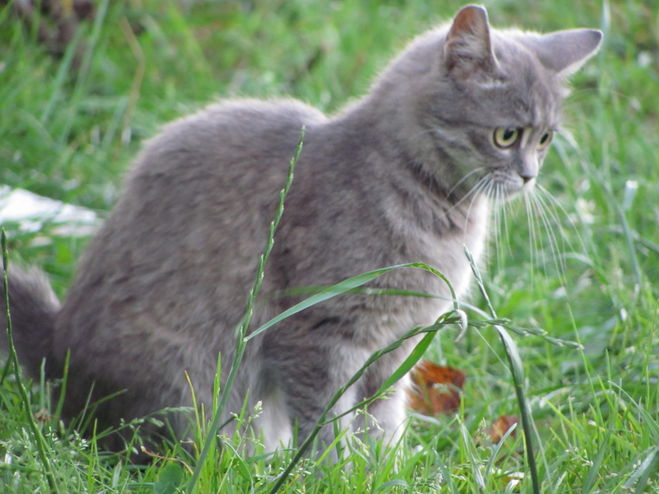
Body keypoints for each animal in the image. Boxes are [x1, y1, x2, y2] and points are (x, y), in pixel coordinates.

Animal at [0, 6, 604, 456]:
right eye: (506, 136)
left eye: (546, 139)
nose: (529, 176)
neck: (437, 211)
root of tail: (57, 353)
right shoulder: (321, 331)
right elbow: (328, 422)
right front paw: (339, 471)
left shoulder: (399, 340)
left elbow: (382, 419)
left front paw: (383, 470)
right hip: (196, 385)